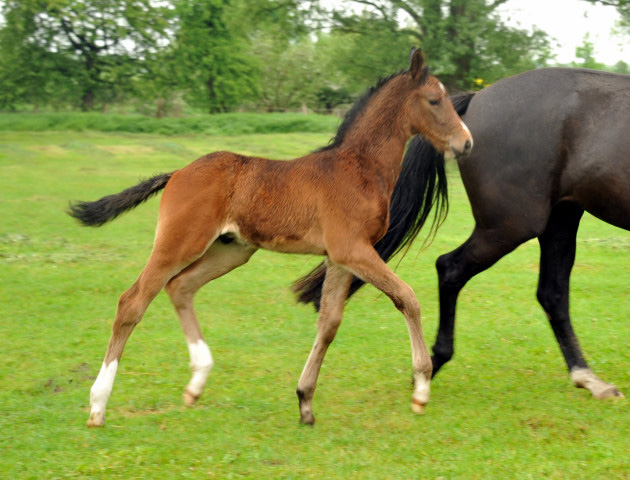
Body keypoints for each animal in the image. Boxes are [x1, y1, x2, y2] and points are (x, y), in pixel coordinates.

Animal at [69, 49, 474, 428]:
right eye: (434, 100)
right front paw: (421, 388)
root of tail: (177, 173)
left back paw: (196, 383)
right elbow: (407, 297)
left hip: (231, 251)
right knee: (132, 301)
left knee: (180, 287)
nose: (466, 142)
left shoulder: (339, 257)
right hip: (179, 242)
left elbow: (329, 322)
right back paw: (98, 405)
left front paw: (305, 401)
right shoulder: (352, 250)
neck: (358, 168)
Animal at [296, 67, 630, 404]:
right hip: (511, 225)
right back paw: (431, 365)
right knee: (450, 268)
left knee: (551, 293)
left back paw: (588, 378)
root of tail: (477, 99)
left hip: (559, 218)